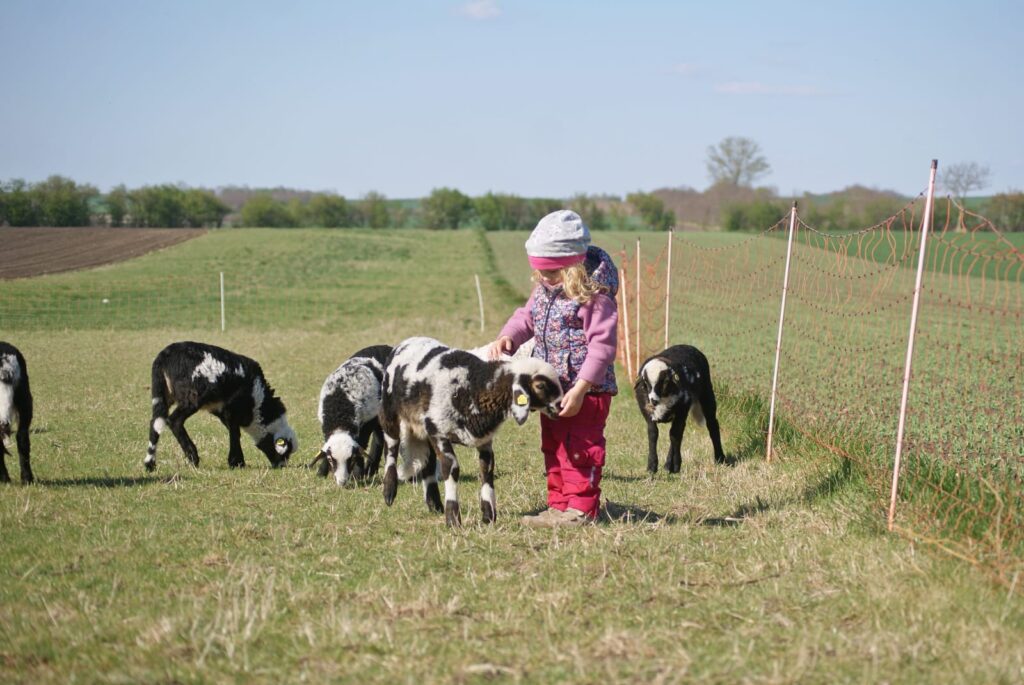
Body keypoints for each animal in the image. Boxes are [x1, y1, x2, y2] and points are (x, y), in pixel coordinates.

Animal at [145, 339, 296, 471]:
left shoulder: (221, 410)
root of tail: (164, 357)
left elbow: (233, 431)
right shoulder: (232, 408)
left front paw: (236, 461)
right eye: (285, 453)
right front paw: (237, 462)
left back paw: (150, 464)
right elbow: (235, 432)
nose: (281, 466)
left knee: (156, 422)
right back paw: (193, 458)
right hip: (192, 397)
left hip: (162, 393)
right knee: (174, 420)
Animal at [307, 344, 391, 483]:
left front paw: (357, 475)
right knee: (379, 438)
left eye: (351, 459)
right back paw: (370, 470)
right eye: (331, 459)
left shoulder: (367, 422)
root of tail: (385, 346)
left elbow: (362, 445)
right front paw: (321, 473)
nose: (342, 482)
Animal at [380, 335, 565, 524]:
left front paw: (488, 516)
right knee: (391, 448)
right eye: (541, 386)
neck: (473, 385)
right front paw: (453, 518)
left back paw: (435, 505)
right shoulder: (439, 431)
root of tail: (410, 340)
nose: (561, 405)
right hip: (389, 411)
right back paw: (389, 491)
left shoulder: (484, 440)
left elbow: (487, 470)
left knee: (428, 462)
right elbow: (451, 468)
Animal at [630, 341, 729, 471]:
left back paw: (720, 458)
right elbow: (653, 433)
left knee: (712, 425)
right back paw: (667, 466)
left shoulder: (682, 409)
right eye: (645, 382)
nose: (653, 401)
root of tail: (686, 345)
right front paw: (652, 466)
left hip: (707, 395)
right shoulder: (647, 412)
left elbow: (675, 435)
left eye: (665, 381)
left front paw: (676, 465)